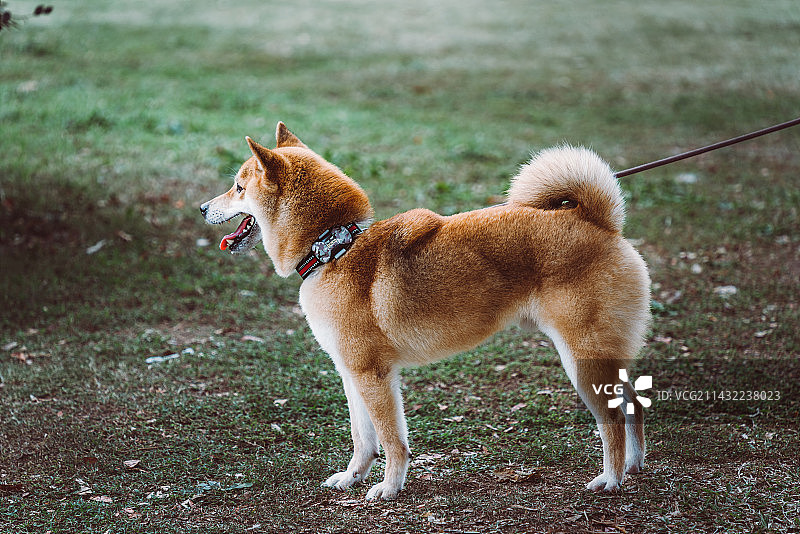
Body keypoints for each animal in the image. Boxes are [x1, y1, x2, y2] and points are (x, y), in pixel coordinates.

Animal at [198, 123, 648, 500]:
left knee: (612, 422)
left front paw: (389, 488)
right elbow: (363, 440)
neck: (334, 247)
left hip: (582, 361)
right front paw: (352, 477)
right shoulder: (351, 373)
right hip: (602, 359)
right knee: (635, 405)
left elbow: (392, 441)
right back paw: (633, 466)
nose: (202, 208)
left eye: (238, 187)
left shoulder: (374, 375)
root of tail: (597, 220)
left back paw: (611, 479)